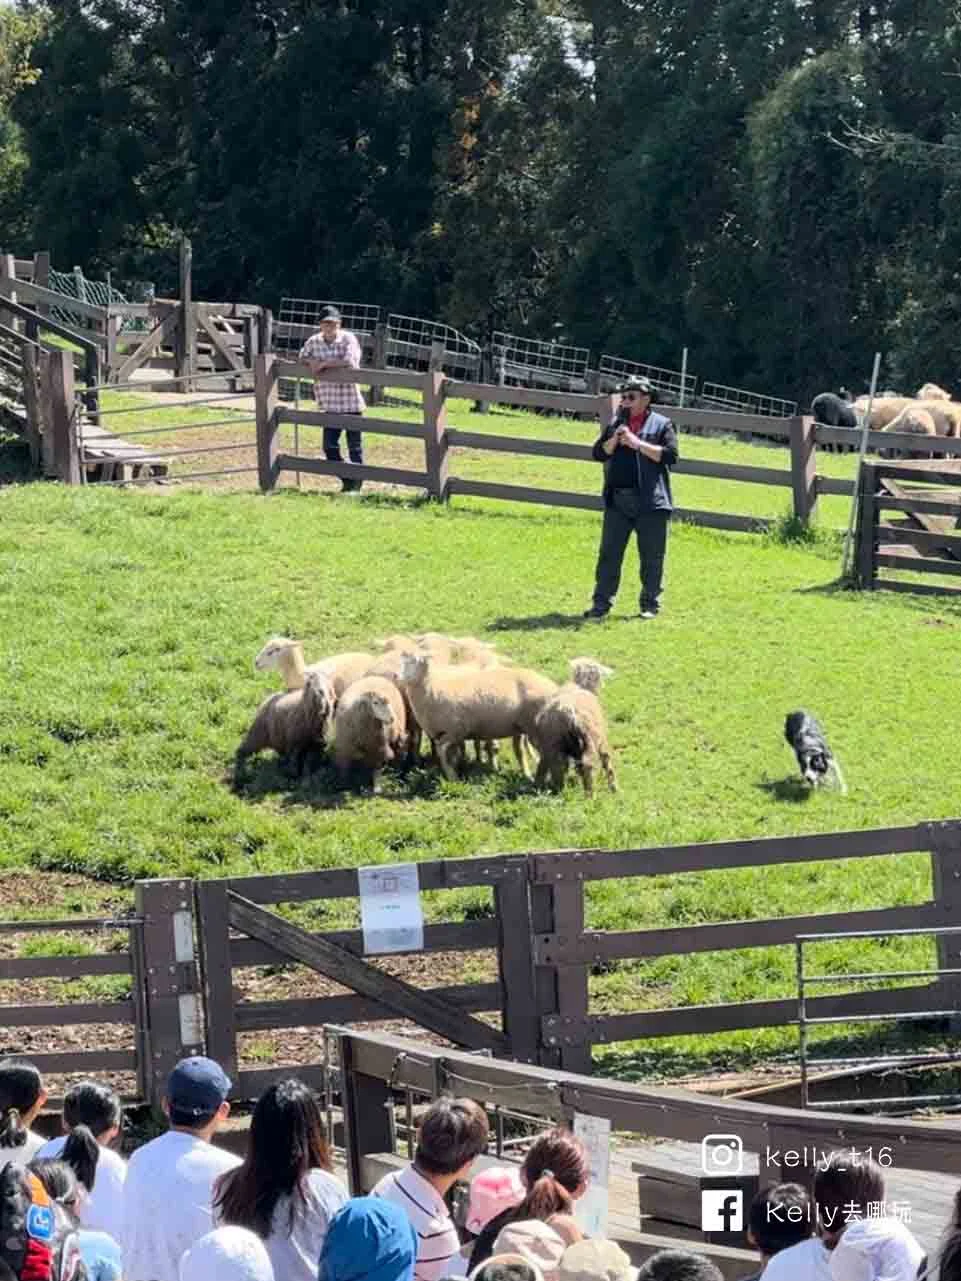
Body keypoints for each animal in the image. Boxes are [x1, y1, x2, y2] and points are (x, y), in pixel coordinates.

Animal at [399, 650, 556, 778]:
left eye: (415, 661)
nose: (396, 675)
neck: (432, 687)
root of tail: (551, 685)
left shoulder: (455, 730)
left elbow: (442, 751)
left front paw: (452, 776)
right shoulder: (444, 733)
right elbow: (449, 754)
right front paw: (456, 770)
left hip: (533, 726)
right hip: (520, 726)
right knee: (520, 750)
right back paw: (528, 774)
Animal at [530, 666, 620, 794]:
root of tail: (569, 713)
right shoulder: (601, 739)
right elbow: (607, 761)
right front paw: (614, 788)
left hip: (555, 743)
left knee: (558, 765)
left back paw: (559, 790)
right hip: (588, 738)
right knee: (587, 764)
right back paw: (589, 794)